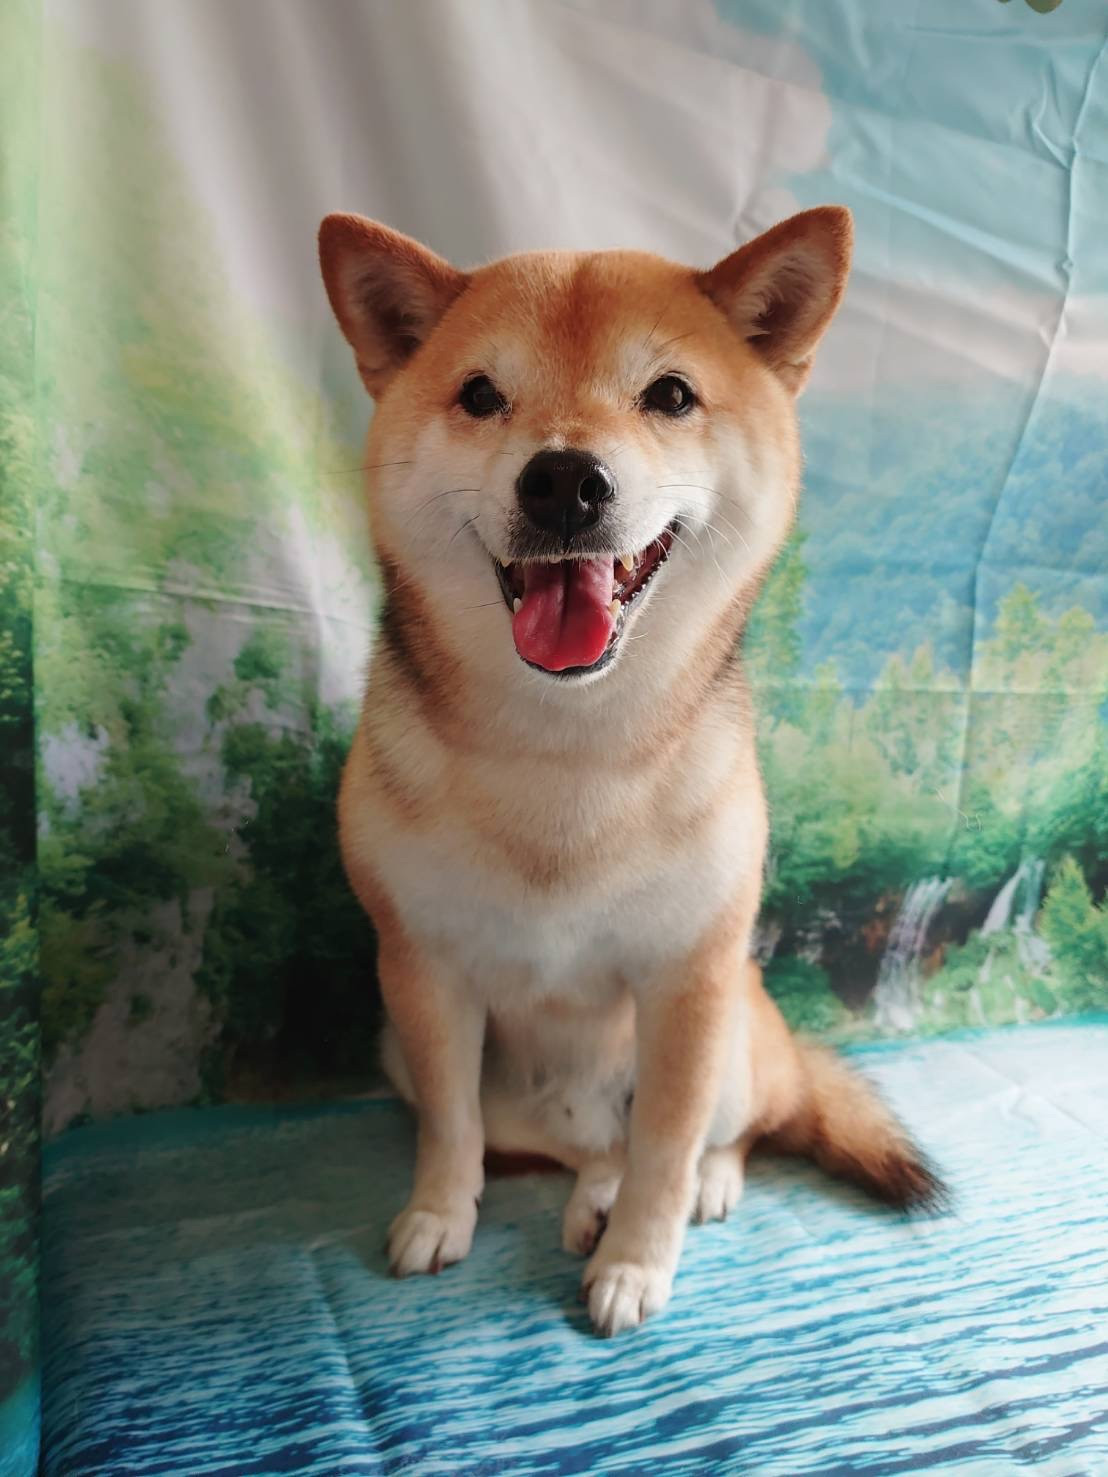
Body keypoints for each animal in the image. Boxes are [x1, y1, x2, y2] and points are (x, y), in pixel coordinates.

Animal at [318, 205, 945, 1336]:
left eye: (671, 395)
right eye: (481, 393)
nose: (565, 478)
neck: (569, 750)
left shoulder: (688, 979)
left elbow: (665, 1143)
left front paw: (638, 1262)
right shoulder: (422, 971)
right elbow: (450, 1129)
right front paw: (437, 1215)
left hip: (736, 1029)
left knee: (714, 1132)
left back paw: (683, 1192)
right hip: (406, 1049)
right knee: (563, 1147)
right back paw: (582, 1195)